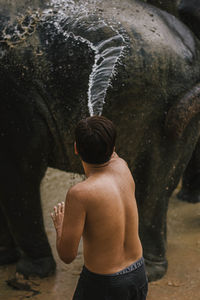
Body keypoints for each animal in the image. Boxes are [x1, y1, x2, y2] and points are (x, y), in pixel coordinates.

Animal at [1, 0, 200, 282]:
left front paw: (29, 273)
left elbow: (19, 171)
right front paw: (6, 260)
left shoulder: (15, 99)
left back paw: (148, 271)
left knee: (153, 185)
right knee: (158, 185)